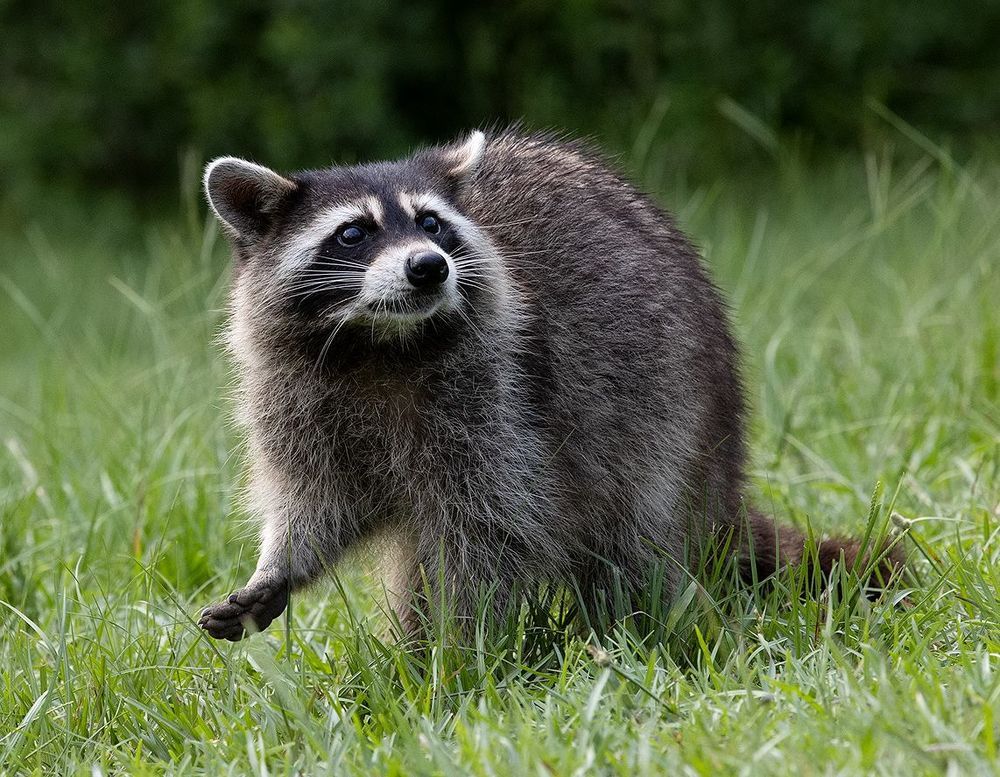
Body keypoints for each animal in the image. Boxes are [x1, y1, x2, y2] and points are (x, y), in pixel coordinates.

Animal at [198, 129, 902, 641]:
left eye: (432, 225)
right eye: (352, 233)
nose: (429, 267)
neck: (380, 346)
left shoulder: (502, 401)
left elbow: (491, 532)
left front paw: (456, 653)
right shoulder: (298, 400)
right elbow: (317, 503)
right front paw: (280, 565)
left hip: (669, 416)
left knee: (633, 534)